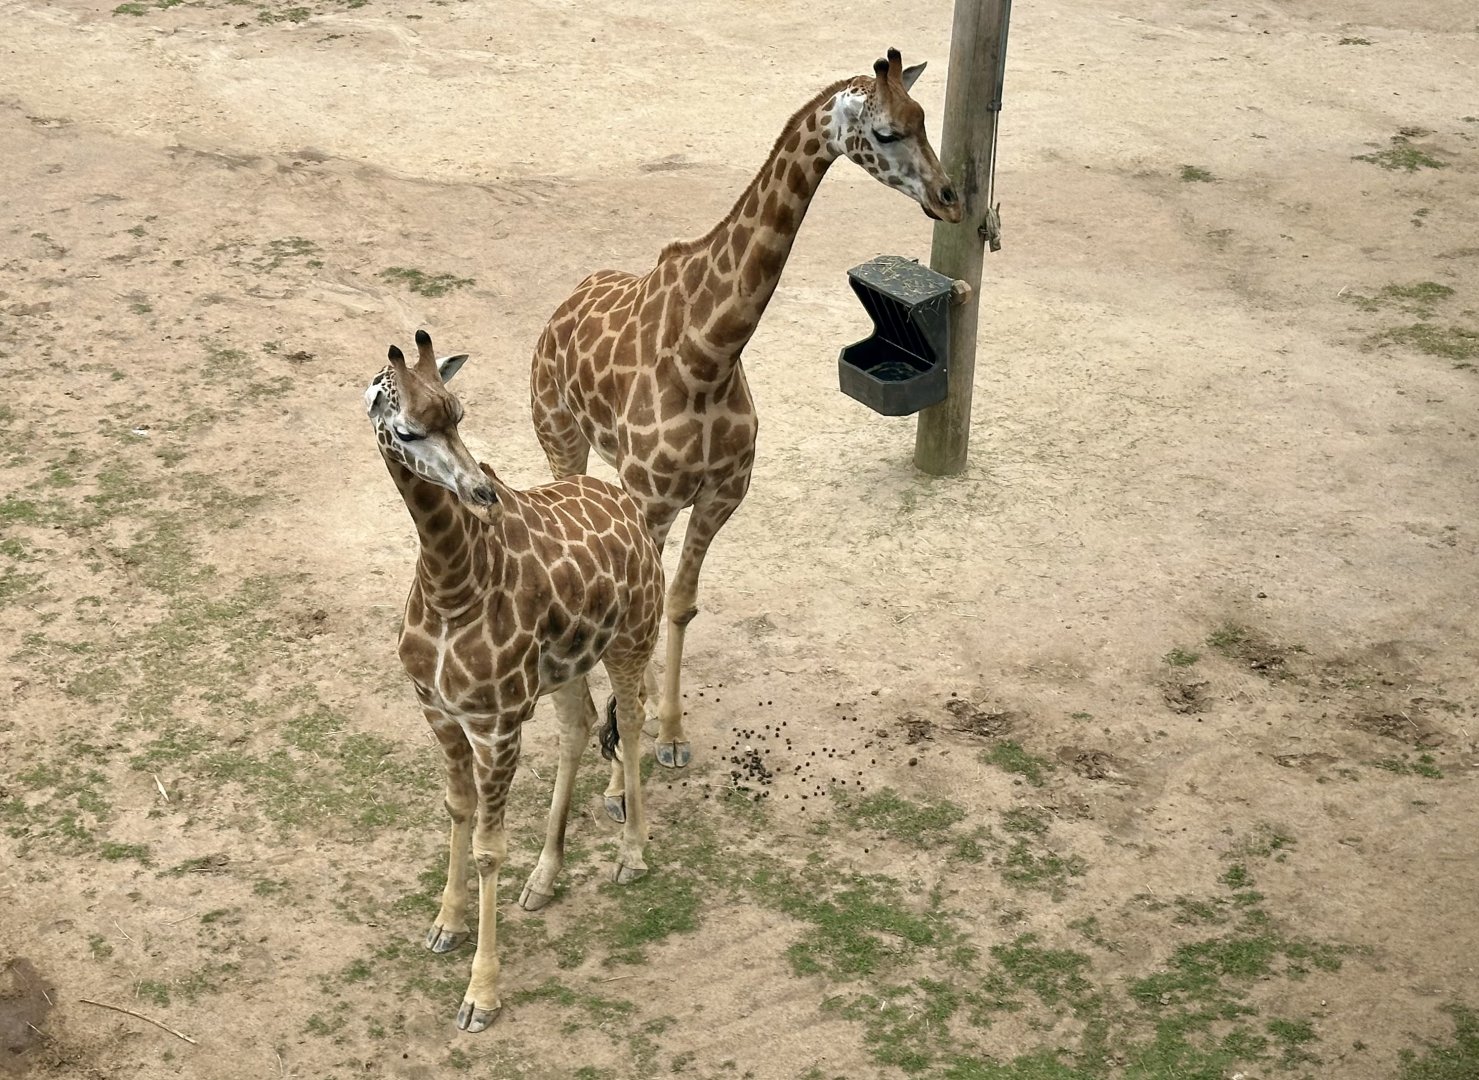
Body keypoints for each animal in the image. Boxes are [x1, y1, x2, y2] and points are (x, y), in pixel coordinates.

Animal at [365, 329, 665, 1032]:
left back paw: (632, 855)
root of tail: (627, 500)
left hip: (631, 638)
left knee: (633, 718)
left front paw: (481, 994)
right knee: (580, 725)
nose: (481, 490)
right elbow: (457, 809)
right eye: (409, 429)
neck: (451, 584)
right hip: (568, 663)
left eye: (459, 413)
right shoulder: (439, 711)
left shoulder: (496, 723)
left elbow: (488, 849)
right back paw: (544, 878)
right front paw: (445, 925)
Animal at [529, 49, 961, 789]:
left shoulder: (721, 494)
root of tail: (563, 306)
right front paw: (618, 777)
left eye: (925, 120)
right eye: (885, 132)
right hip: (561, 434)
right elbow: (638, 619)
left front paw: (670, 734)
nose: (950, 197)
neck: (708, 352)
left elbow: (679, 603)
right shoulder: (652, 499)